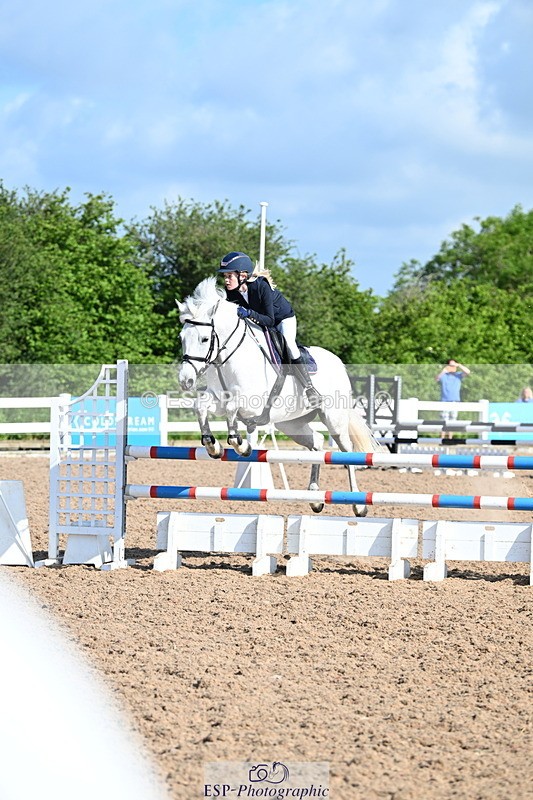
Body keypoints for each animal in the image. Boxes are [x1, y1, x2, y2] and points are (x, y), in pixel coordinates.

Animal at [177, 277, 382, 516]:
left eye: (204, 338)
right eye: (182, 338)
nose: (185, 379)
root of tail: (337, 362)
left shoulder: (252, 402)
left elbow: (232, 409)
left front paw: (241, 445)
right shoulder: (217, 398)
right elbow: (201, 406)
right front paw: (213, 446)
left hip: (334, 419)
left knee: (346, 452)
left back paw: (359, 505)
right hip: (292, 424)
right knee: (317, 443)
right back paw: (315, 497)